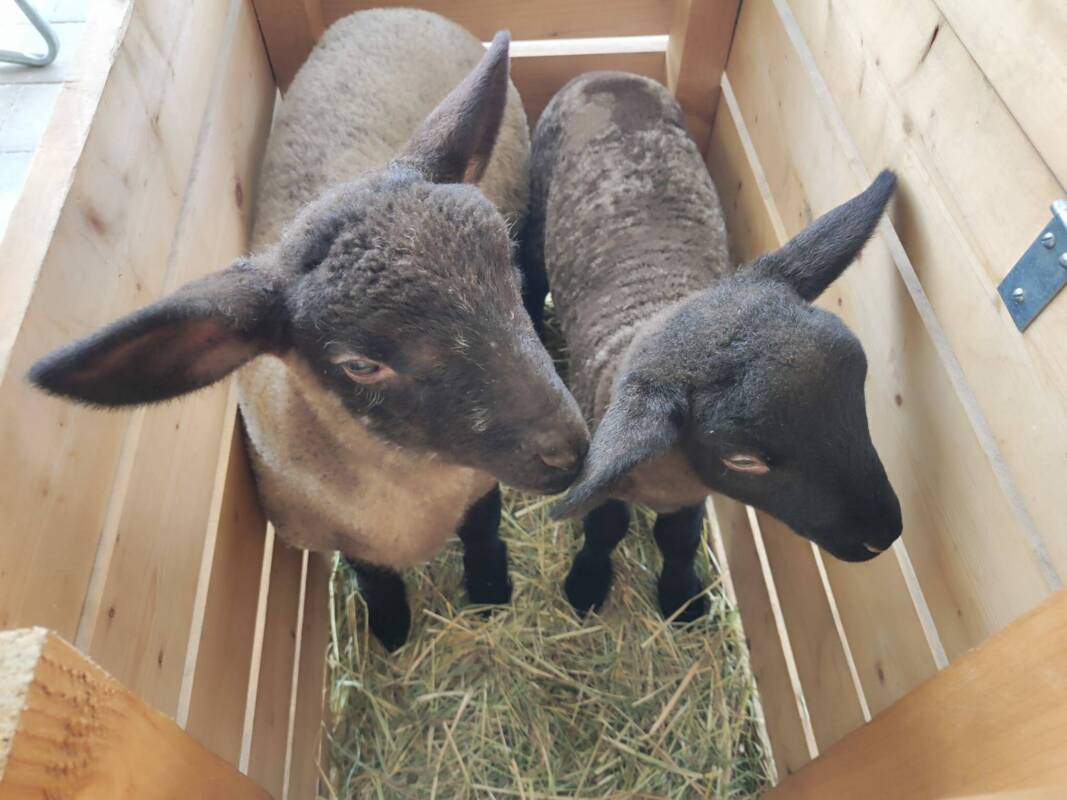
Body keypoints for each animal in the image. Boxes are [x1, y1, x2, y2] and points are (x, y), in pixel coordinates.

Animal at [29, 9, 588, 652]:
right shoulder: (333, 532)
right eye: (360, 365)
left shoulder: (478, 486)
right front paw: (390, 627)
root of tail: (384, 10)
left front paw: (491, 592)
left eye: (504, 270)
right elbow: (371, 574)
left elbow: (483, 529)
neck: (410, 499)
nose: (569, 450)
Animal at [522, 73, 900, 618]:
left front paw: (682, 596)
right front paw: (587, 583)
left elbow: (679, 538)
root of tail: (607, 75)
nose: (884, 534)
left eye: (860, 387)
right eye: (743, 460)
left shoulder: (692, 493)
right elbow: (604, 528)